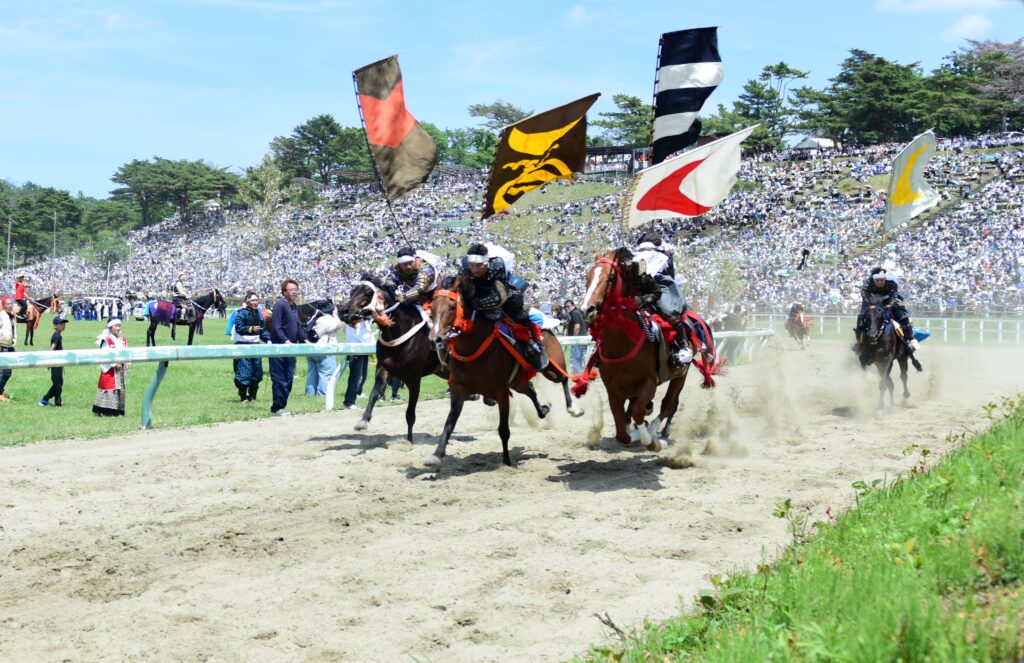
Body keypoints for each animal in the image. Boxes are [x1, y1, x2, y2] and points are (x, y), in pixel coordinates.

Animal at [339, 274, 448, 440]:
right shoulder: (384, 368)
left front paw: (409, 440)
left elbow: (410, 413)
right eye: (351, 291)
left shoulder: (414, 378)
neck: (397, 333)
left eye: (368, 292)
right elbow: (375, 393)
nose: (342, 311)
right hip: (443, 370)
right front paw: (363, 420)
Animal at [425, 274, 585, 471]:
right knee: (531, 390)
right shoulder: (459, 390)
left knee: (563, 378)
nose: (435, 339)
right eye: (431, 308)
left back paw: (573, 408)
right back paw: (543, 409)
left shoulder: (501, 391)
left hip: (550, 366)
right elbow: (449, 424)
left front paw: (507, 462)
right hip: (517, 381)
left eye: (452, 307)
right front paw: (436, 455)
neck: (473, 347)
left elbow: (503, 430)